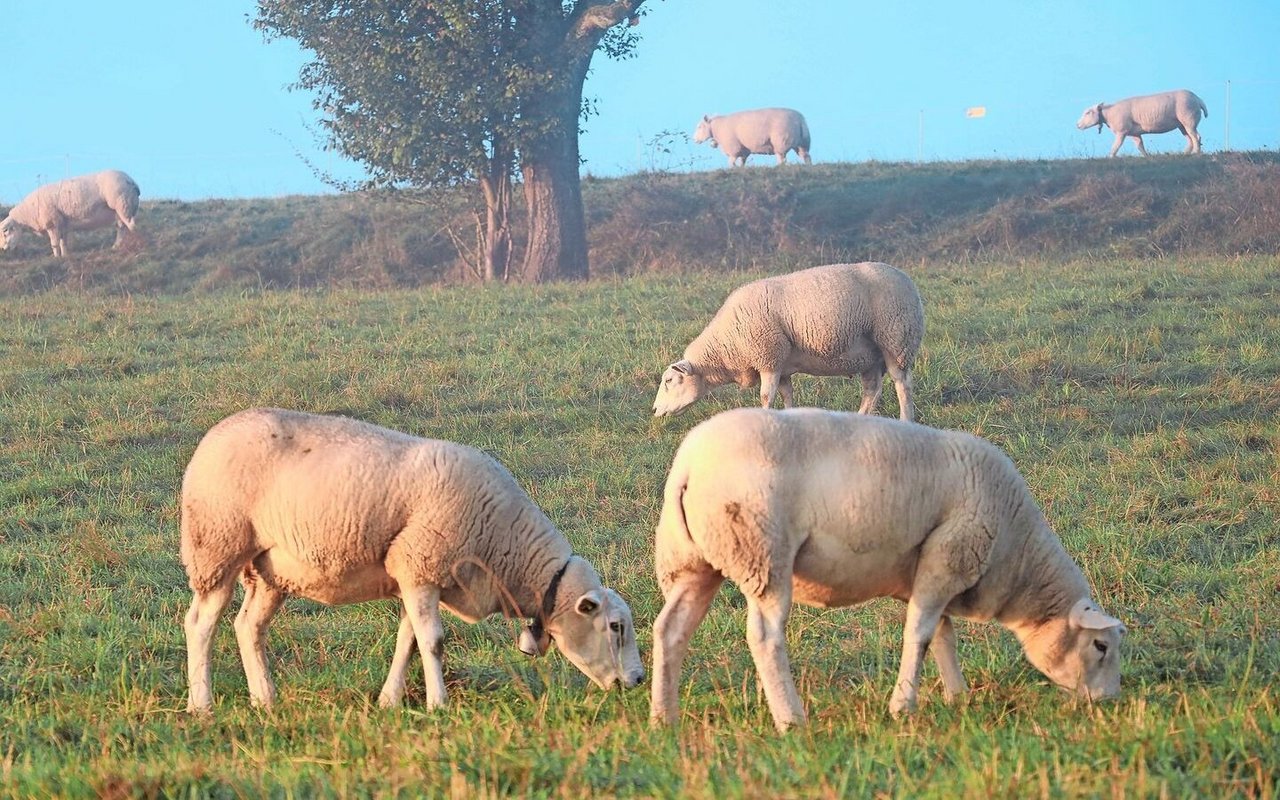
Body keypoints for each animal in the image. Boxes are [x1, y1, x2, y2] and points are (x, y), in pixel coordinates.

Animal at [0, 168, 140, 256]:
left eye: (5, 232)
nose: (3, 249)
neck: (27, 213)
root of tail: (131, 180)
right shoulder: (62, 224)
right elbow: (63, 242)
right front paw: (65, 256)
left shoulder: (52, 223)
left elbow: (55, 243)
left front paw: (56, 257)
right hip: (120, 209)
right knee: (121, 227)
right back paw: (116, 246)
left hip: (122, 204)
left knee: (132, 225)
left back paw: (138, 241)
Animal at [181, 404, 645, 711]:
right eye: (615, 627)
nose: (639, 679)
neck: (505, 544)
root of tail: (212, 436)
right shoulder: (421, 565)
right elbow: (433, 642)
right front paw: (438, 705)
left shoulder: (418, 574)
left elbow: (409, 641)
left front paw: (390, 701)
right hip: (217, 544)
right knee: (201, 624)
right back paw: (202, 705)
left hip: (270, 570)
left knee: (248, 627)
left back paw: (265, 700)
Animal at [655, 262, 926, 424]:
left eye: (669, 381)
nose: (655, 410)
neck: (725, 348)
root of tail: (908, 280)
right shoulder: (782, 365)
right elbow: (787, 395)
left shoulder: (768, 357)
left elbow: (766, 397)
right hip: (870, 356)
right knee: (872, 391)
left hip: (897, 340)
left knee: (903, 385)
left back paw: (906, 421)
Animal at [655, 409, 1126, 727]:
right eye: (1101, 646)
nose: (1109, 702)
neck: (1016, 554)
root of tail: (689, 465)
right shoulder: (948, 556)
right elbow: (920, 636)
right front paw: (903, 707)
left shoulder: (929, 570)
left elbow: (942, 635)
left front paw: (958, 696)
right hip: (762, 552)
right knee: (765, 637)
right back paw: (791, 719)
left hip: (692, 562)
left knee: (670, 629)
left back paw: (664, 718)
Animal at [1070, 88, 1208, 156]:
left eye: (1088, 112)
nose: (1077, 125)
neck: (1109, 114)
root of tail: (1198, 99)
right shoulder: (1134, 133)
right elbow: (1140, 146)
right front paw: (1147, 157)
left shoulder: (1122, 131)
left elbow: (1115, 147)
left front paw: (1110, 157)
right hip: (1182, 125)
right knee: (1190, 139)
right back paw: (1185, 153)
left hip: (1188, 119)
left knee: (1195, 137)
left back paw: (1196, 152)